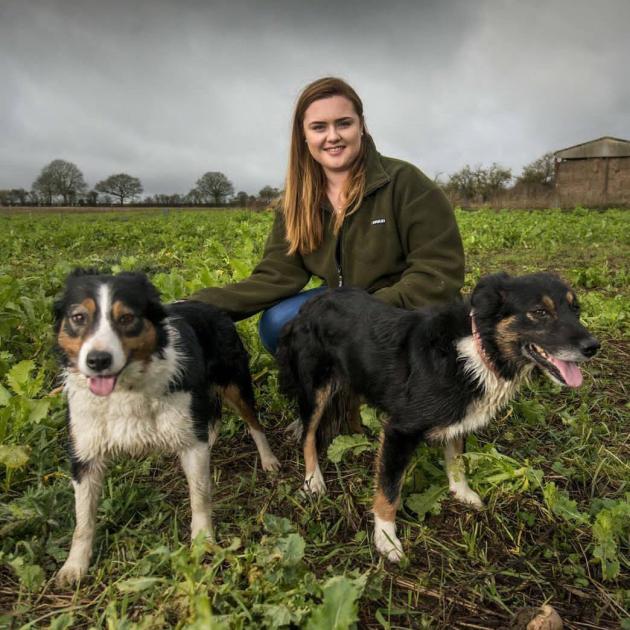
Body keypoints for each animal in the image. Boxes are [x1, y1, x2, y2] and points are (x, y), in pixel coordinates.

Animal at [55, 270, 278, 584]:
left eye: (127, 318)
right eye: (78, 317)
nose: (98, 360)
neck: (126, 389)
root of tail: (212, 307)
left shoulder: (191, 444)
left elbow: (200, 496)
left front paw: (203, 543)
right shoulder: (85, 454)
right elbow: (83, 520)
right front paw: (75, 566)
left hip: (234, 384)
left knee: (253, 422)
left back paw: (269, 460)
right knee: (212, 418)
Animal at [278, 272, 604, 564]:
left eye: (576, 309)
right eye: (539, 312)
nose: (593, 347)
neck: (479, 351)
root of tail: (312, 303)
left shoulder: (459, 420)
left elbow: (456, 460)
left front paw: (462, 493)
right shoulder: (401, 430)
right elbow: (389, 490)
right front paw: (386, 539)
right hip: (315, 388)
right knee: (309, 434)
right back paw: (314, 479)